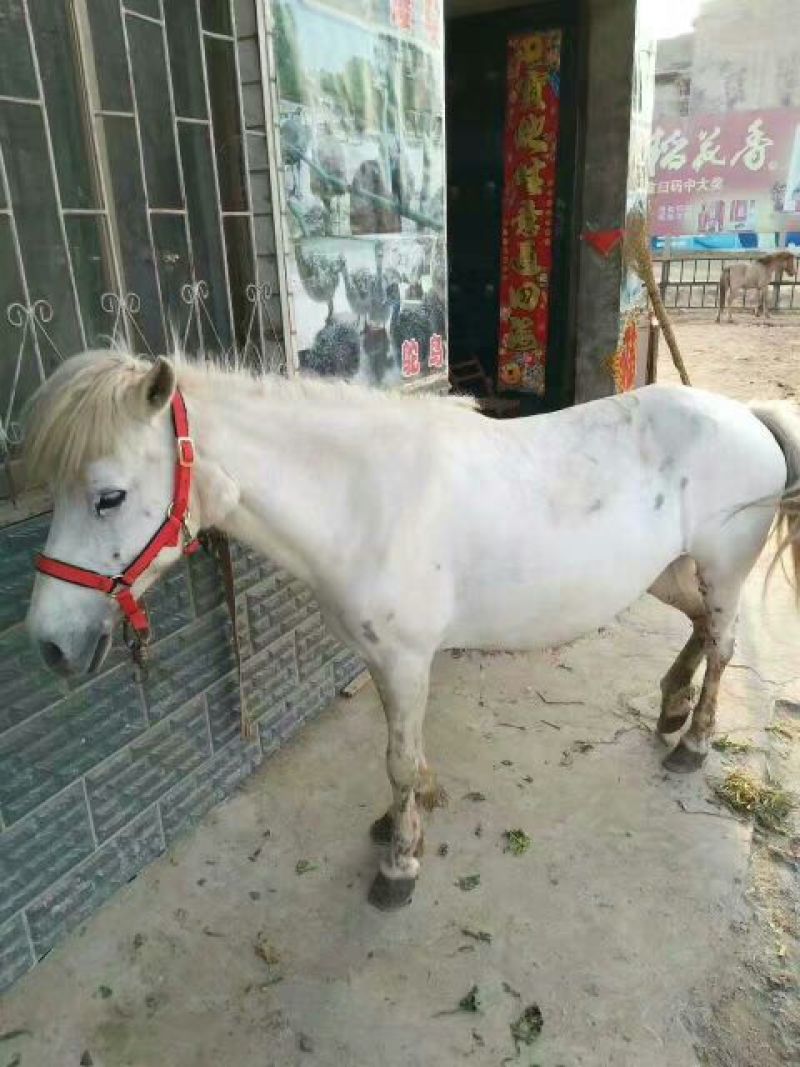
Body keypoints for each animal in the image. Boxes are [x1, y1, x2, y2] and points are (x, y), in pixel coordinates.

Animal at [23, 350, 800, 911]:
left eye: (109, 496)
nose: (51, 644)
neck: (362, 498)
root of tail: (746, 416)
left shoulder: (402, 658)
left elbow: (395, 760)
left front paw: (398, 863)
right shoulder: (387, 659)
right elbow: (408, 750)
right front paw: (415, 810)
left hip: (722, 570)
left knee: (725, 645)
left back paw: (692, 743)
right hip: (670, 571)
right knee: (699, 626)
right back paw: (670, 706)